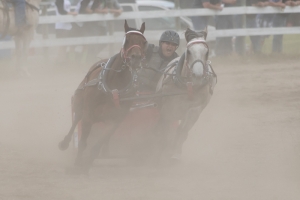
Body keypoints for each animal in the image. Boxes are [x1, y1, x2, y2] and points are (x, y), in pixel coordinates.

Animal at [58, 19, 148, 170]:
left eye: (144, 42)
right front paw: (77, 165)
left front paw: (86, 165)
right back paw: (64, 143)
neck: (113, 88)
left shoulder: (114, 121)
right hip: (79, 103)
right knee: (76, 119)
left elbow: (97, 146)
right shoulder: (88, 114)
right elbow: (82, 142)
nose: (136, 58)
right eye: (127, 40)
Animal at [154, 27, 217, 162]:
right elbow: (164, 127)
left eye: (207, 52)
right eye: (188, 51)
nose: (197, 76)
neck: (188, 87)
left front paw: (174, 153)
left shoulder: (195, 109)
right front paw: (161, 150)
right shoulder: (168, 108)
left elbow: (182, 130)